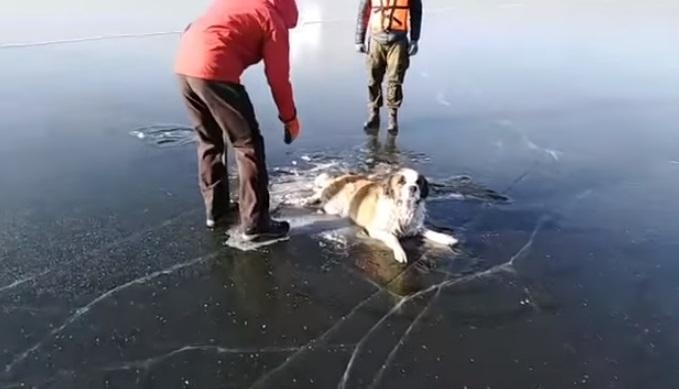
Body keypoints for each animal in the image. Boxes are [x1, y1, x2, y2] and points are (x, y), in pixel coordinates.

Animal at [310, 167, 462, 262]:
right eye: (402, 182)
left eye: (418, 182)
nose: (413, 188)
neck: (402, 208)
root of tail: (344, 176)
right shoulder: (374, 229)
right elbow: (392, 237)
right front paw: (400, 252)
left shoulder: (413, 226)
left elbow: (427, 230)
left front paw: (445, 238)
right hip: (333, 205)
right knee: (321, 194)